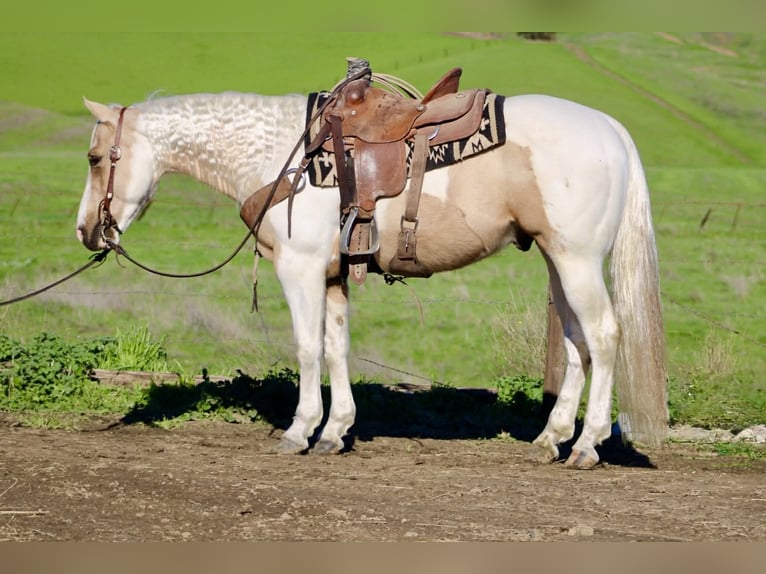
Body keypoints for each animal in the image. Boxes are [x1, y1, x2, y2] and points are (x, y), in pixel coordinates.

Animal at [75, 83, 667, 469]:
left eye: (95, 157)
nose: (85, 231)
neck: (282, 156)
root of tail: (609, 128)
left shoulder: (300, 270)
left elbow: (307, 348)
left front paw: (299, 430)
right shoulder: (333, 277)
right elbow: (336, 347)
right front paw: (336, 431)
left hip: (577, 260)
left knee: (605, 337)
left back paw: (587, 446)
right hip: (557, 261)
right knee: (575, 343)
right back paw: (551, 439)